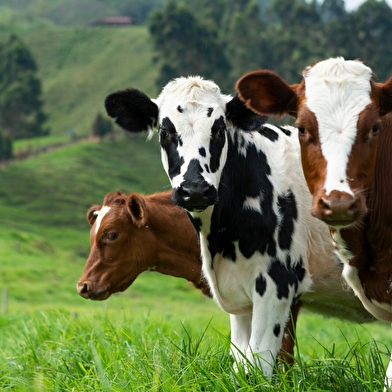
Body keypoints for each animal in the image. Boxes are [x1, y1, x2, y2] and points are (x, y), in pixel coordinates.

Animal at [104, 76, 362, 374]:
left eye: (219, 130)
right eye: (164, 132)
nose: (195, 190)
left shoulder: (278, 283)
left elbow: (259, 363)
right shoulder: (240, 298)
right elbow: (240, 363)